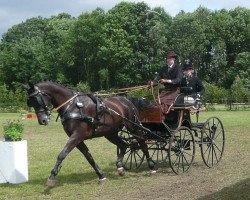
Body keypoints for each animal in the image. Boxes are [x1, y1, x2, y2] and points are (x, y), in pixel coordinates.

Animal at [24, 81, 155, 186]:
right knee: (124, 145)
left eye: (37, 100)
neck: (72, 106)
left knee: (142, 143)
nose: (42, 121)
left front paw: (52, 176)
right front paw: (101, 175)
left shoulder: (77, 135)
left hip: (133, 127)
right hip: (110, 133)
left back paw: (151, 166)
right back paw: (120, 167)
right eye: (30, 102)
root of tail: (127, 100)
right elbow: (89, 157)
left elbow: (62, 154)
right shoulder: (77, 139)